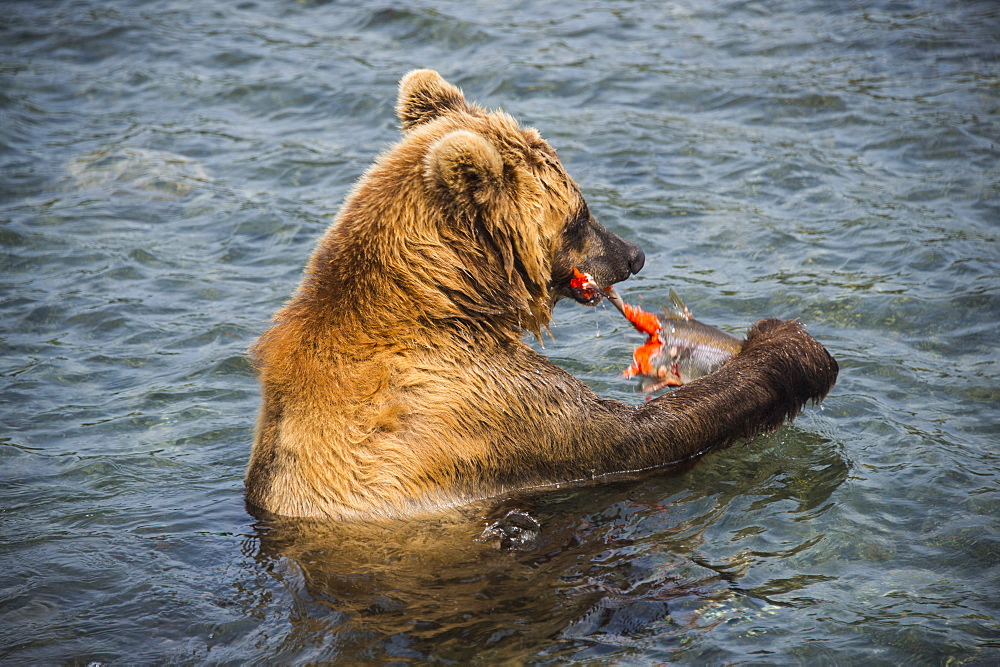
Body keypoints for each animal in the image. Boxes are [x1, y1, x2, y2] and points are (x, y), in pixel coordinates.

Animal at [246, 72, 840, 520]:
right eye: (579, 216)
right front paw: (789, 347)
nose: (633, 255)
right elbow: (634, 436)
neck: (446, 298)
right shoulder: (479, 402)